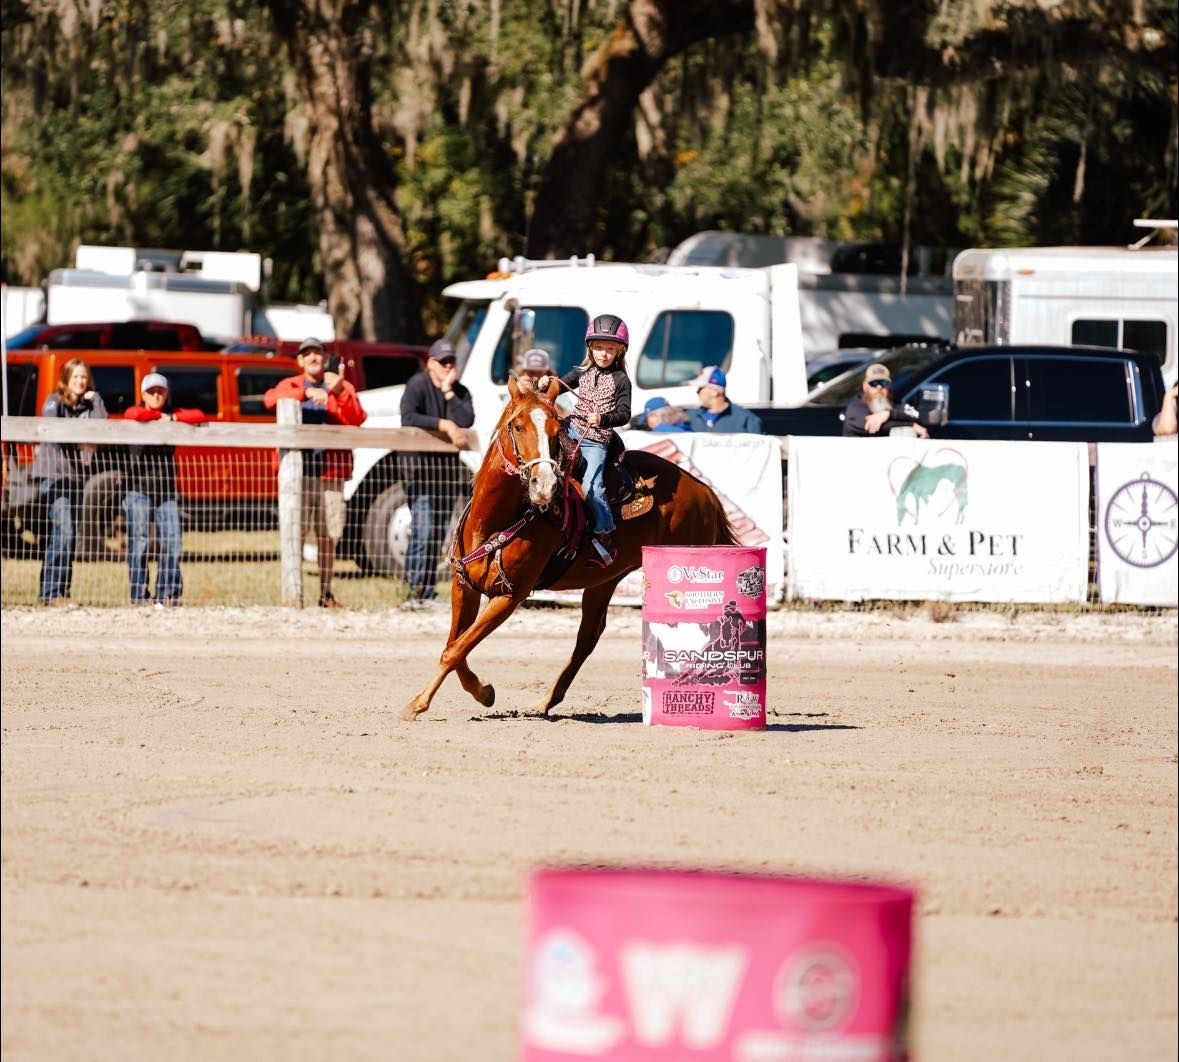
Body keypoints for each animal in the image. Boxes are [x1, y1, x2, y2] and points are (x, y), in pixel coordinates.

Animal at [405, 374, 735, 721]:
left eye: (555, 431)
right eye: (518, 426)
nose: (544, 484)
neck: (490, 522)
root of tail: (704, 493)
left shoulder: (510, 596)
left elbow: (456, 649)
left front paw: (417, 703)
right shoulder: (464, 587)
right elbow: (455, 648)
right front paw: (484, 692)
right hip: (604, 581)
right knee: (588, 637)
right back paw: (546, 701)